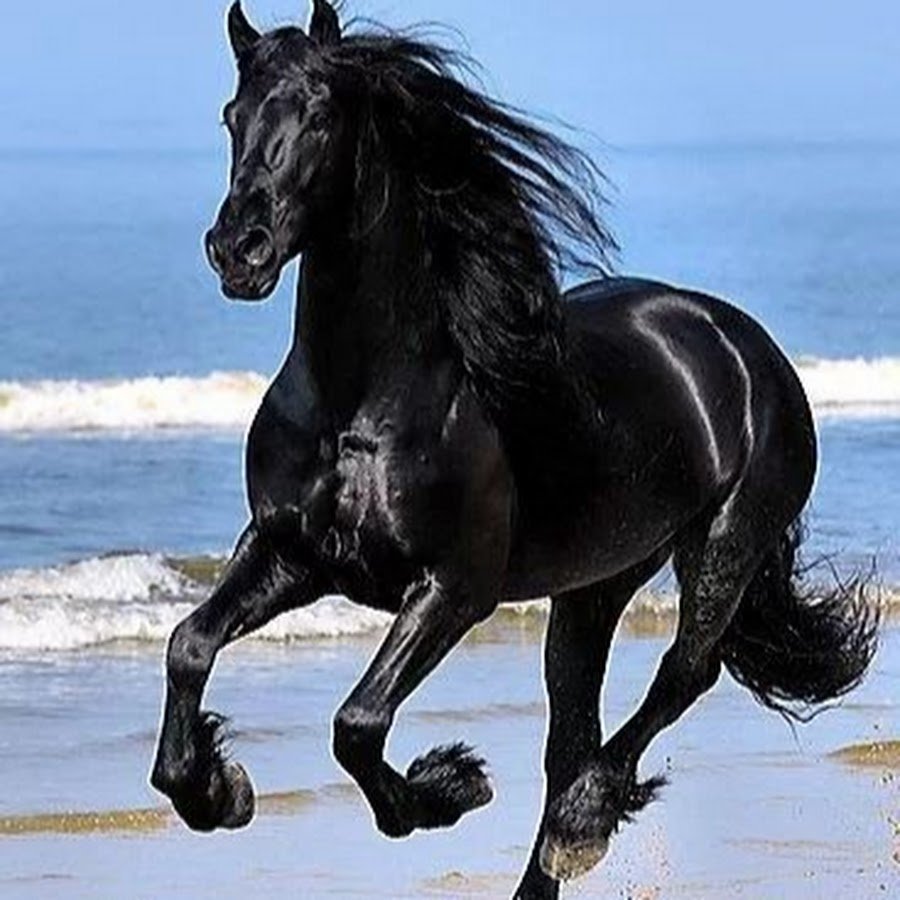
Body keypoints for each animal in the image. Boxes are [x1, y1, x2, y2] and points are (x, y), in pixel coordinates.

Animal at [150, 3, 877, 896]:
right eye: (232, 117)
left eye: (319, 115)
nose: (238, 248)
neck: (362, 404)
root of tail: (744, 345)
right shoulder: (291, 553)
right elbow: (189, 646)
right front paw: (216, 791)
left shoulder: (454, 588)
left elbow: (358, 722)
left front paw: (449, 788)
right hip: (597, 583)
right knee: (574, 729)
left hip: (723, 547)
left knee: (683, 673)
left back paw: (582, 823)